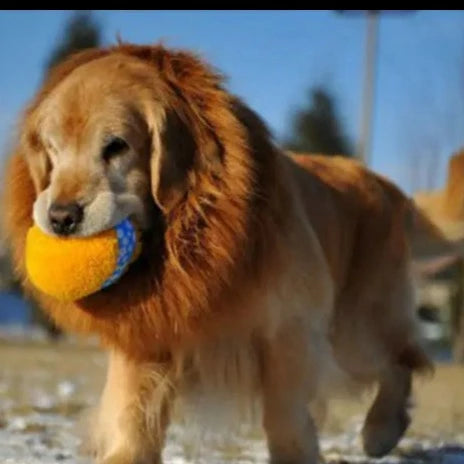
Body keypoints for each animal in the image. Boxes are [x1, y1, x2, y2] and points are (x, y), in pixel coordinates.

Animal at [1, 41, 462, 462]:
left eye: (116, 146)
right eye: (52, 149)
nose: (61, 217)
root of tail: (385, 185)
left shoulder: (289, 331)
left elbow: (285, 415)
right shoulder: (148, 334)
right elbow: (134, 415)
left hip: (353, 330)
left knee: (403, 360)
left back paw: (381, 430)